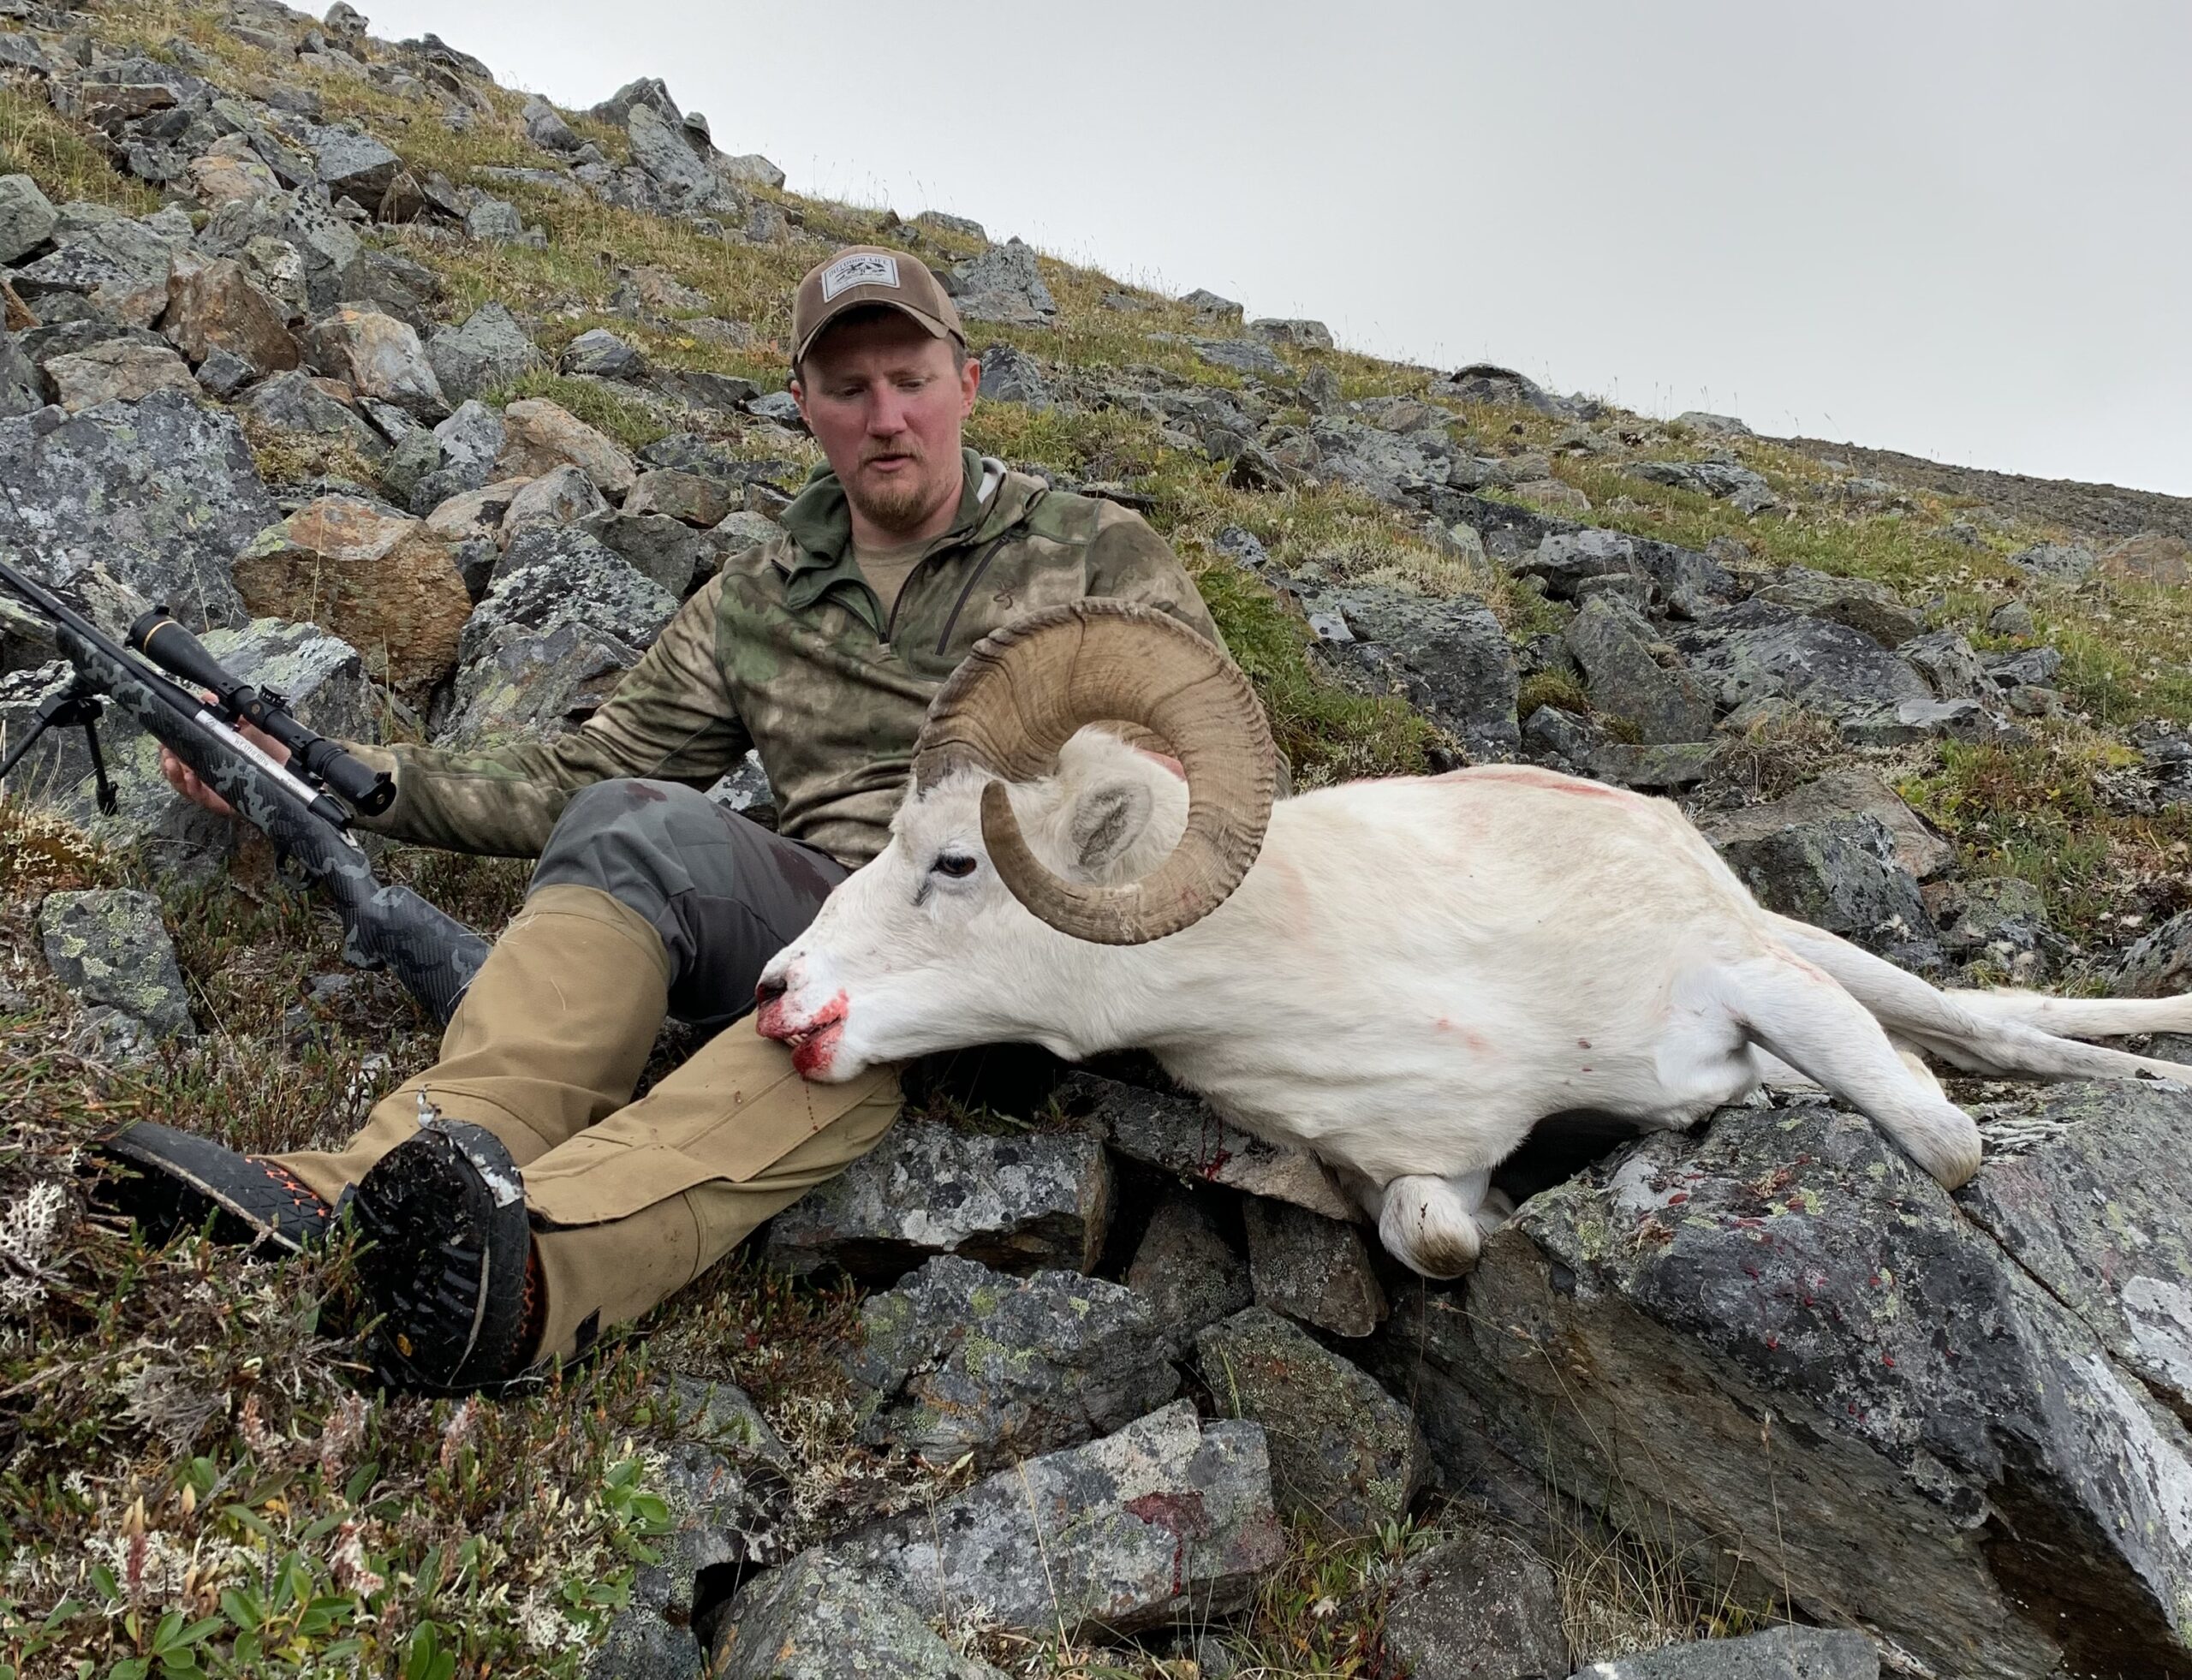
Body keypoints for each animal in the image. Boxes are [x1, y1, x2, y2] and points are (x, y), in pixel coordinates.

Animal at [758, 605, 2192, 1280]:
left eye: (954, 859)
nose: (778, 997)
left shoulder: (1741, 981)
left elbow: (1945, 1146)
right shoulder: (1417, 1173)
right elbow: (1440, 1241)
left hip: (1809, 951)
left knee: (2001, 1031)